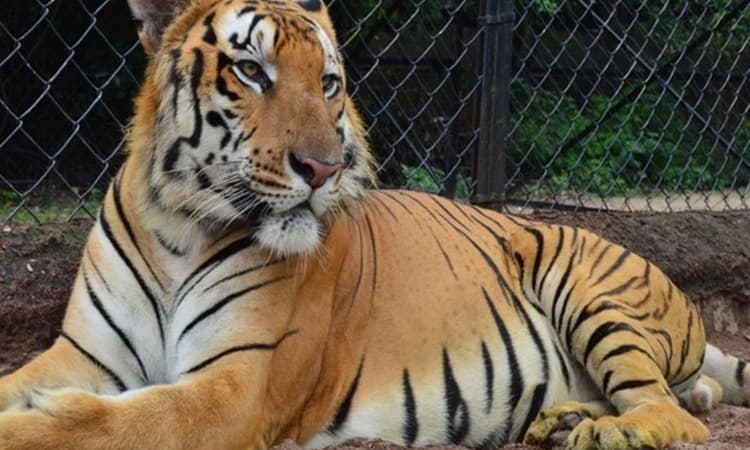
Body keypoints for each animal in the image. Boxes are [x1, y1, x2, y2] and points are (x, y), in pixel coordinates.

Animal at [0, 0, 747, 449]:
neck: (177, 227)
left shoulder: (239, 382)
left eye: (328, 83)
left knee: (673, 412)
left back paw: (599, 432)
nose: (324, 169)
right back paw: (561, 421)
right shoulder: (84, 354)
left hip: (583, 278)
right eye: (251, 70)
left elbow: (114, 420)